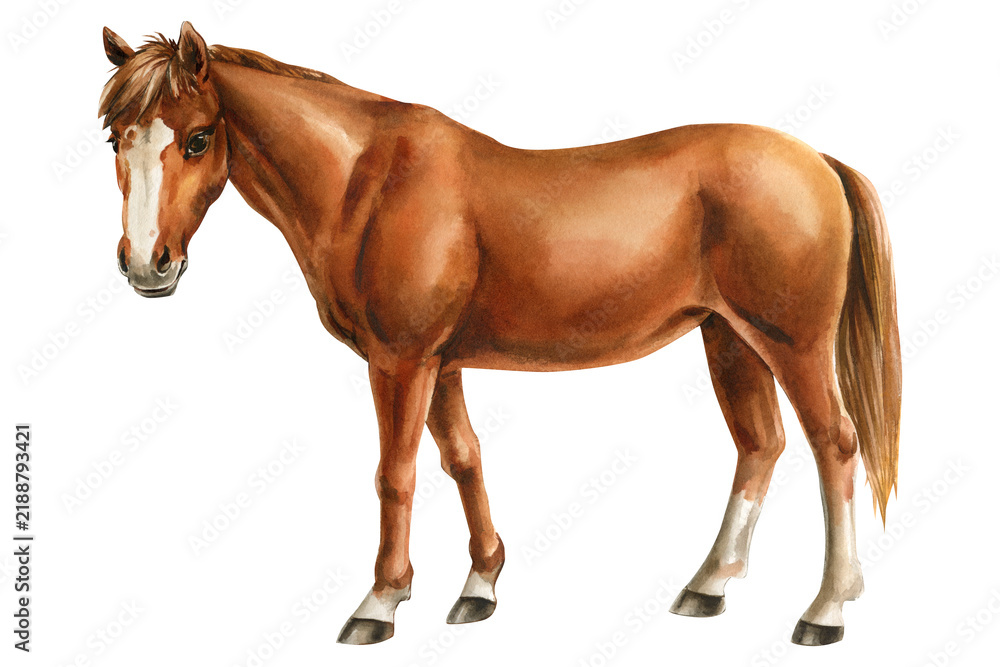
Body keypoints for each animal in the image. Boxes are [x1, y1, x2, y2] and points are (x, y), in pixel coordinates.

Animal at [98, 22, 901, 647]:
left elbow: (396, 474)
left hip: (790, 342)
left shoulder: (400, 361)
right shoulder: (441, 362)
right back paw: (708, 586)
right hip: (729, 339)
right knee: (760, 444)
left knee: (835, 445)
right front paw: (479, 585)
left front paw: (380, 603)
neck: (366, 185)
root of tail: (817, 161)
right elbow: (462, 458)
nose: (147, 266)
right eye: (115, 137)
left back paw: (826, 609)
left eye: (198, 138)